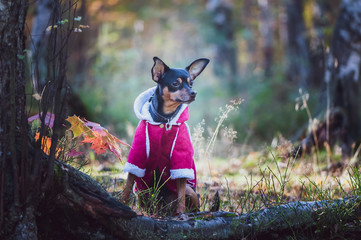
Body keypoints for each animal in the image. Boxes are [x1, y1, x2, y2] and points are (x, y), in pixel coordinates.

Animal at [122, 56, 210, 216]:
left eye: (191, 83)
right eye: (175, 83)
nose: (193, 93)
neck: (165, 119)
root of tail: (161, 209)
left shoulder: (180, 160)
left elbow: (181, 194)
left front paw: (181, 214)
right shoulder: (138, 154)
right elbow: (128, 183)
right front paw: (122, 204)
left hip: (190, 191)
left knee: (189, 200)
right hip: (144, 194)